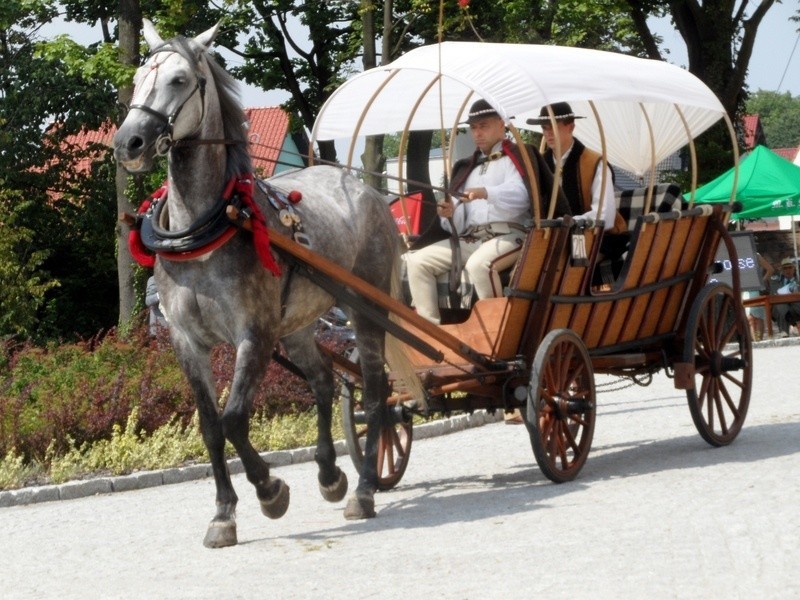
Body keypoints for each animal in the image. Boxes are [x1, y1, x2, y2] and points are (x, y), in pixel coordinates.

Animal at [115, 21, 404, 548]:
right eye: (140, 76)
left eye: (180, 80)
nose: (128, 143)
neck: (204, 231)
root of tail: (364, 189)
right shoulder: (187, 341)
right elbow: (211, 425)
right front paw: (223, 513)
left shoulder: (254, 334)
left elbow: (234, 418)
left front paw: (270, 491)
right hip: (298, 324)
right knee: (323, 381)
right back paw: (330, 475)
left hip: (365, 310)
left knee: (375, 395)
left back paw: (364, 488)